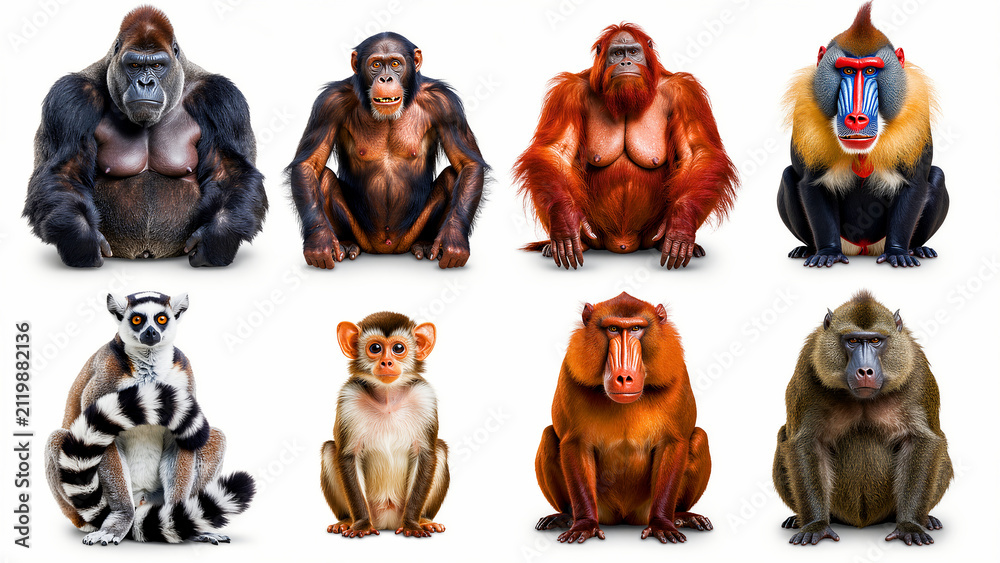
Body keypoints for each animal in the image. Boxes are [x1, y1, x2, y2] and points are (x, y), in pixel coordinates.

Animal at [45, 291, 255, 545]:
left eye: (161, 319)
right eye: (137, 320)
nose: (152, 332)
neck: (150, 366)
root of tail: (143, 501)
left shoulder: (184, 379)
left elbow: (181, 438)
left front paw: (178, 517)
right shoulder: (105, 378)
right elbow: (103, 436)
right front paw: (120, 519)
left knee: (215, 437)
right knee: (58, 439)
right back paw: (99, 522)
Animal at [321, 312, 449, 538]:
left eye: (398, 348)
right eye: (375, 348)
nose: (387, 362)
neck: (388, 397)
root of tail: (386, 522)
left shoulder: (425, 397)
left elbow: (425, 454)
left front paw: (412, 524)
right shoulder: (349, 398)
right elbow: (348, 455)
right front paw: (361, 524)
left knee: (440, 448)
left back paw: (424, 520)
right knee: (329, 449)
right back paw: (346, 520)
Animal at [535, 293, 712, 544]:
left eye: (636, 328)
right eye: (613, 329)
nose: (624, 377)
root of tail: (624, 517)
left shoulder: (675, 372)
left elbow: (673, 442)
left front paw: (661, 523)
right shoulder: (571, 372)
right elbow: (574, 443)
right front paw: (584, 523)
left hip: (643, 509)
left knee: (698, 438)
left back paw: (681, 515)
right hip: (603, 509)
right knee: (549, 437)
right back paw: (565, 516)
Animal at [773, 290, 953, 546]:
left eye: (875, 341)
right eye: (853, 341)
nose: (865, 371)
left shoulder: (915, 368)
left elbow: (923, 440)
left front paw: (909, 525)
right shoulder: (809, 363)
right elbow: (804, 441)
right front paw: (816, 524)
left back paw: (925, 518)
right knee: (783, 436)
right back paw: (800, 518)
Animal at [777, 2, 948, 267]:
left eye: (869, 70)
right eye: (847, 70)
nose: (856, 118)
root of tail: (863, 249)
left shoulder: (917, 114)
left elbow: (914, 183)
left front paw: (898, 252)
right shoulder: (804, 114)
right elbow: (812, 184)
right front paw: (827, 253)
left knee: (937, 175)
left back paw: (917, 248)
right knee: (787, 175)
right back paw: (807, 248)